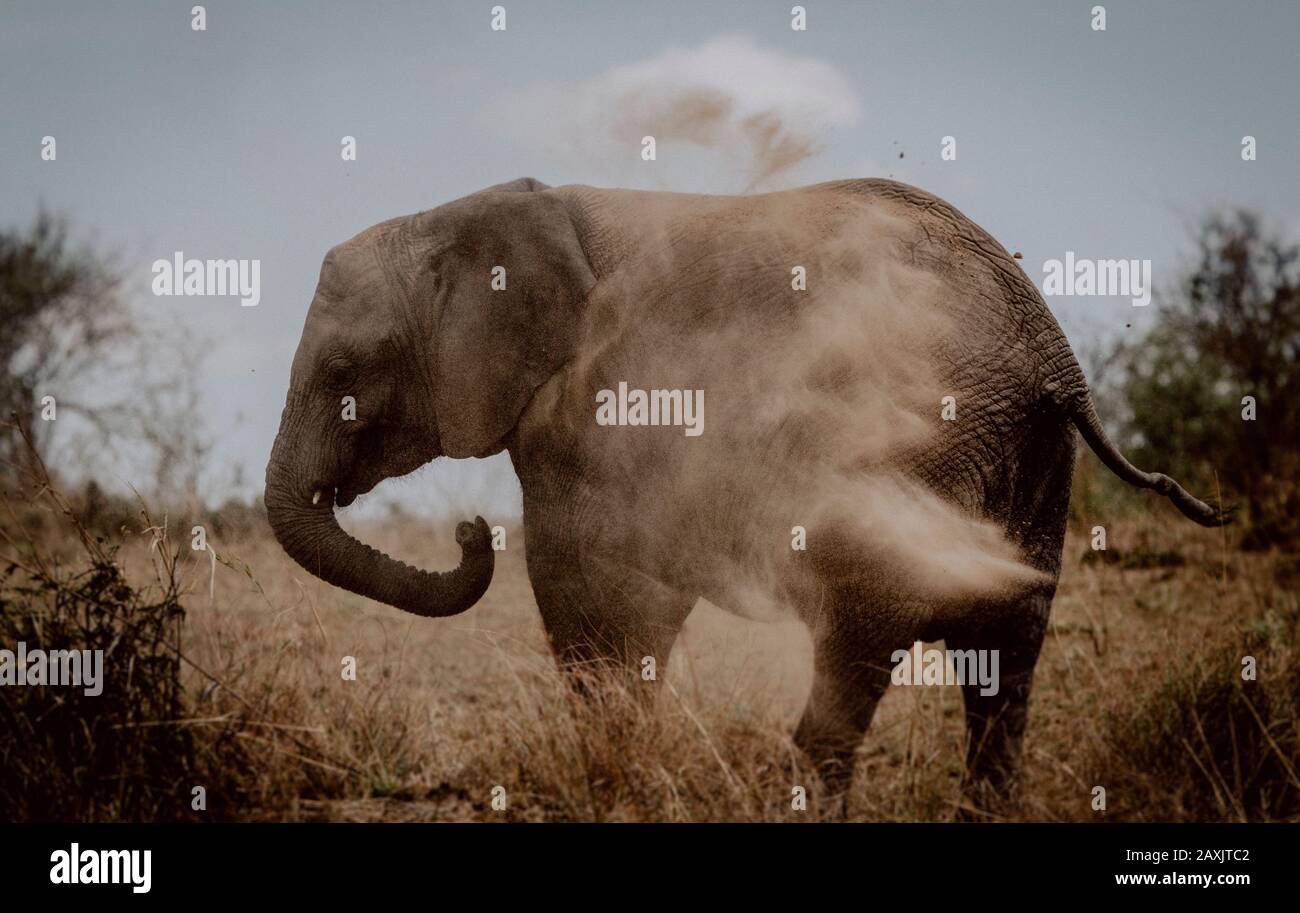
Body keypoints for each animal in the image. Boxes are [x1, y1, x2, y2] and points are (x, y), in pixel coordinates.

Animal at [263, 176, 1216, 806]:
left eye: (344, 374)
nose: (467, 530)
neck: (461, 216)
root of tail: (1056, 357)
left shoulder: (599, 410)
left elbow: (591, 588)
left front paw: (616, 779)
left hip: (922, 438)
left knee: (867, 630)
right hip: (1036, 458)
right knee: (1006, 657)